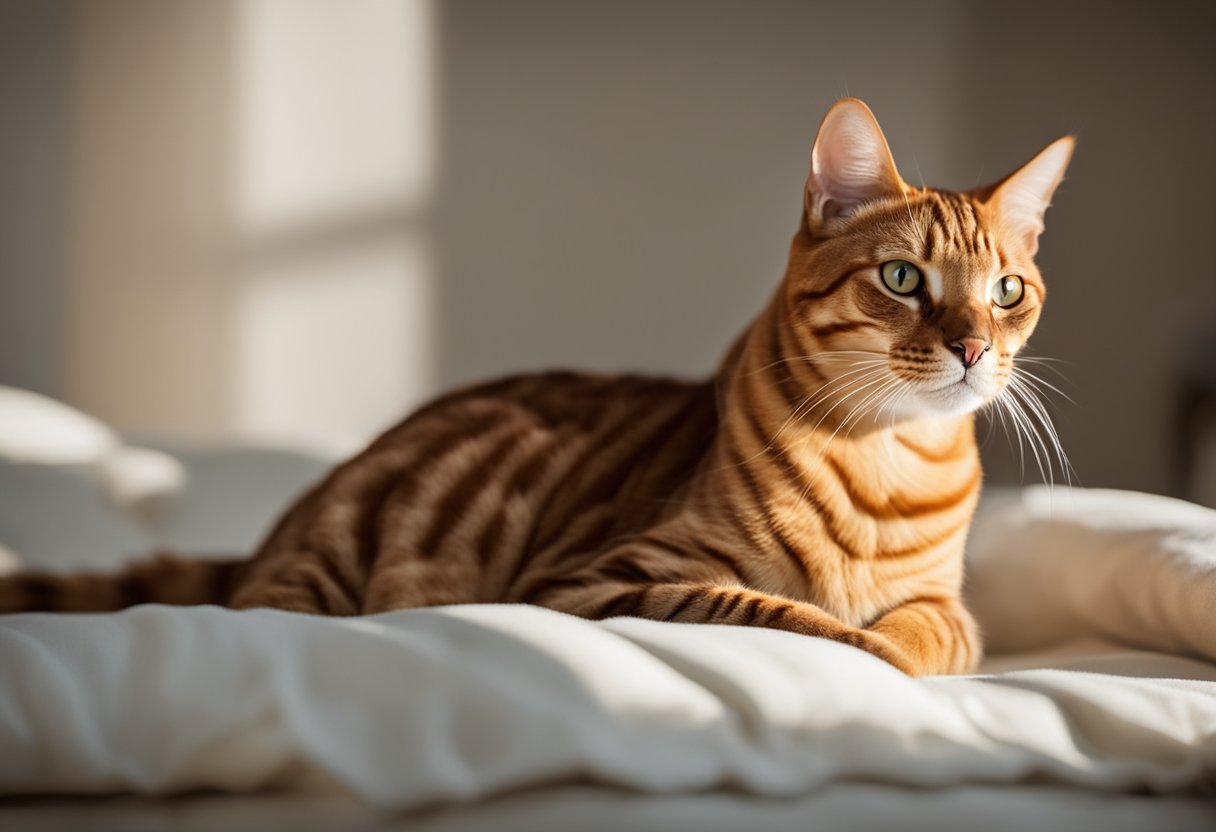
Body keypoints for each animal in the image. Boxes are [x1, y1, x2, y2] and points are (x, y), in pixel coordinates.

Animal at [0, 100, 1074, 681]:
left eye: (1007, 291)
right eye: (902, 278)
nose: (972, 346)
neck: (886, 466)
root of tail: (275, 532)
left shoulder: (947, 602)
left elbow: (934, 630)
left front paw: (902, 650)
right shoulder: (598, 582)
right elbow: (782, 616)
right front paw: (860, 649)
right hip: (320, 569)